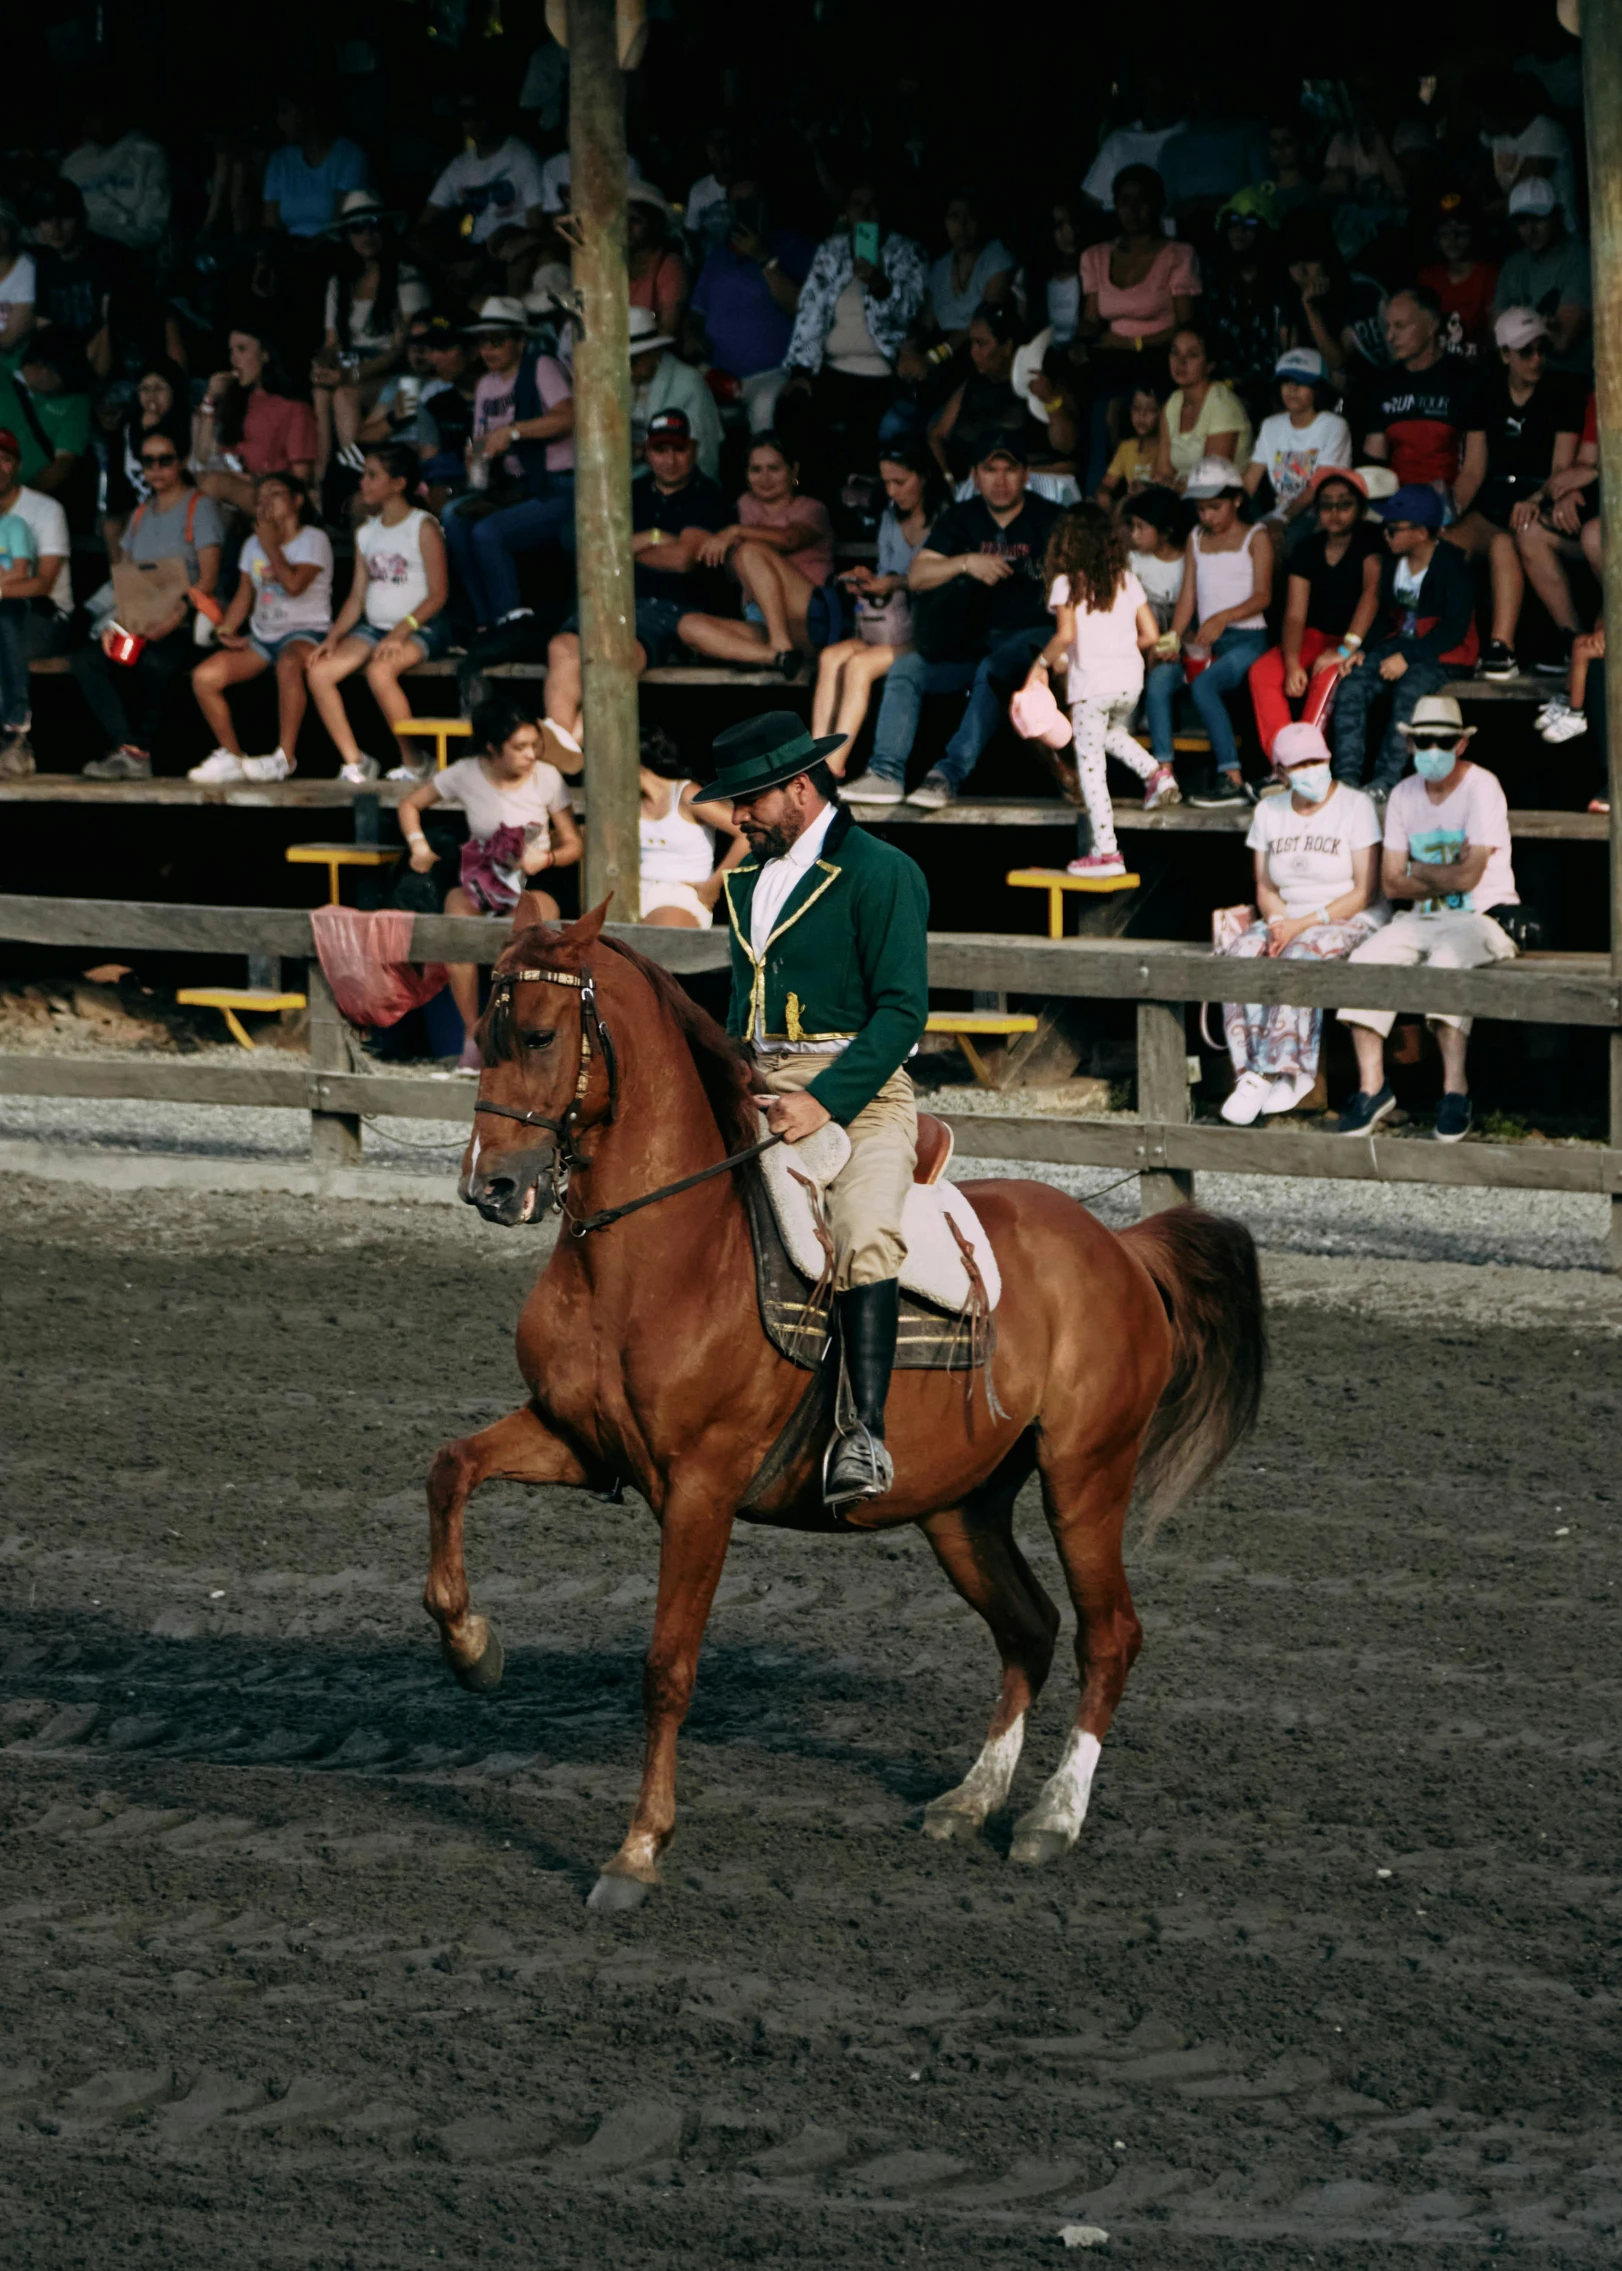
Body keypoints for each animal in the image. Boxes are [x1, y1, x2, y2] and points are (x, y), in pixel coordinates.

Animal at [422, 894, 1253, 1907]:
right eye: (485, 1037)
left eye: (541, 1035)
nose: (492, 1185)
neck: (660, 1248)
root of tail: (1120, 1247)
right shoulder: (577, 1442)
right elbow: (450, 1469)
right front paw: (472, 1648)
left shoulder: (699, 1490)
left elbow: (668, 1666)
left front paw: (638, 1849)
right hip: (961, 1507)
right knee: (1030, 1629)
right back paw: (969, 1799)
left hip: (1085, 1479)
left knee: (1109, 1636)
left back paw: (1052, 1817)